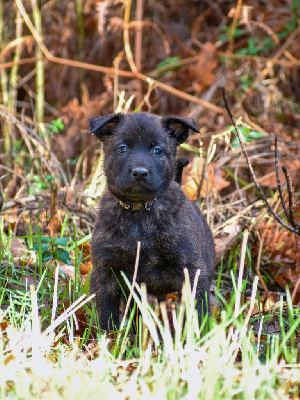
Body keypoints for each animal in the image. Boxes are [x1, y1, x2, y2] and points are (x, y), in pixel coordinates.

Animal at [88, 112, 214, 332]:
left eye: (158, 151)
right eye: (122, 148)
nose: (140, 172)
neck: (139, 214)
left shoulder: (191, 271)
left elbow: (197, 312)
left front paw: (197, 336)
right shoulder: (105, 271)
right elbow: (105, 312)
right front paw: (106, 337)